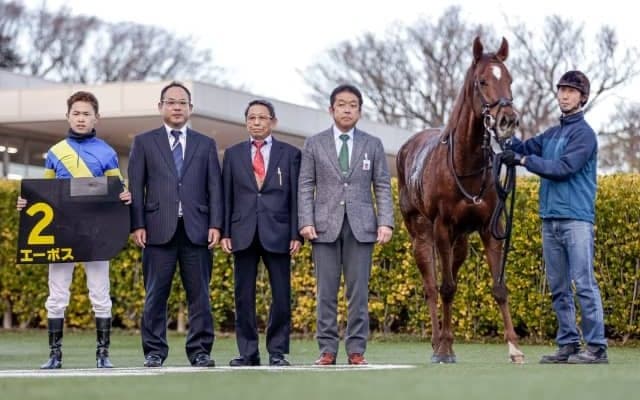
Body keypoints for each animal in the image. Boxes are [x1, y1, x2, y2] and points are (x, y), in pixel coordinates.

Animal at [396, 37, 524, 364]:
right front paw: (442, 348)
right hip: (421, 233)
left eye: (509, 79)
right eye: (482, 81)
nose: (507, 120)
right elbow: (446, 288)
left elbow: (498, 287)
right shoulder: (441, 227)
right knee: (432, 285)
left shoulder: (490, 228)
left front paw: (514, 347)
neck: (465, 163)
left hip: (461, 240)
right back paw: (437, 342)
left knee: (449, 274)